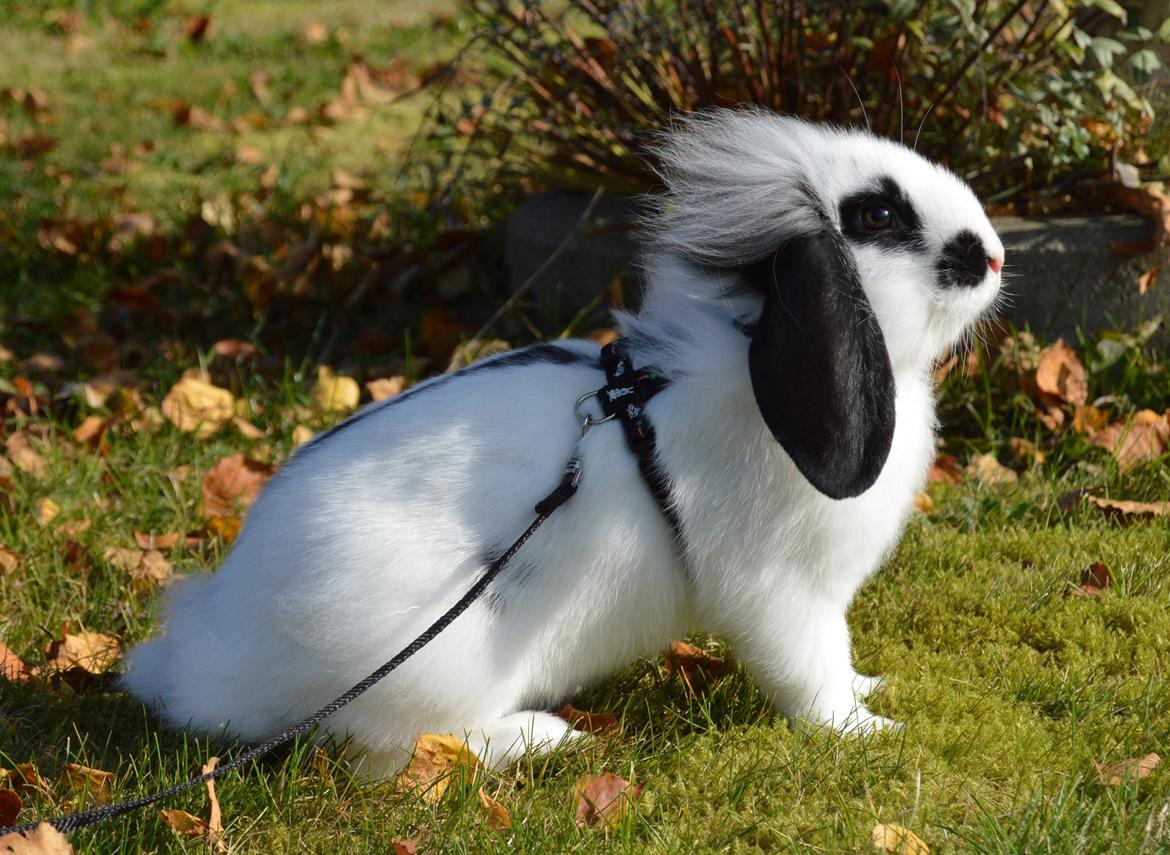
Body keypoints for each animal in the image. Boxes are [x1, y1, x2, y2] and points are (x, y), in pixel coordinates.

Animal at [121, 107, 1006, 776]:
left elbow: (841, 660)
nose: (993, 254)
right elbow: (809, 671)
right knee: (396, 746)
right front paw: (865, 730)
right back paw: (544, 736)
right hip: (430, 661)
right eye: (878, 216)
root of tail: (221, 659)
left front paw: (872, 685)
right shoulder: (782, 592)